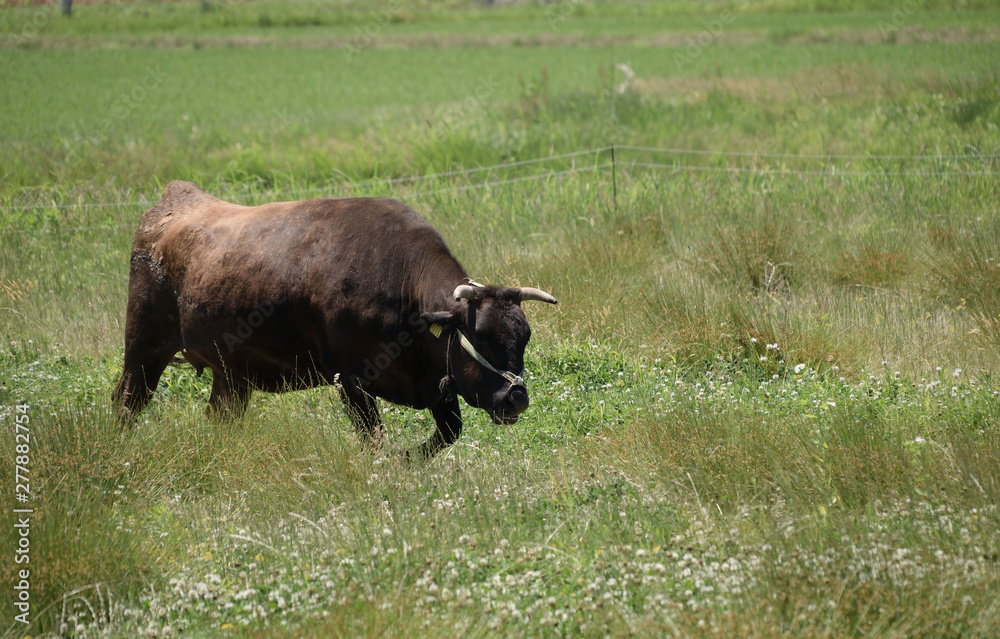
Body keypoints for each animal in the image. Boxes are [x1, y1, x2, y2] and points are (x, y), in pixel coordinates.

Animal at [113, 182, 560, 458]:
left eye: (524, 337)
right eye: (479, 336)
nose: (517, 398)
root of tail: (175, 200)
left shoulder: (438, 378)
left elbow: (449, 431)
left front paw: (407, 458)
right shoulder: (351, 379)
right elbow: (374, 437)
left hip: (231, 373)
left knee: (219, 416)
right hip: (143, 345)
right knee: (128, 400)